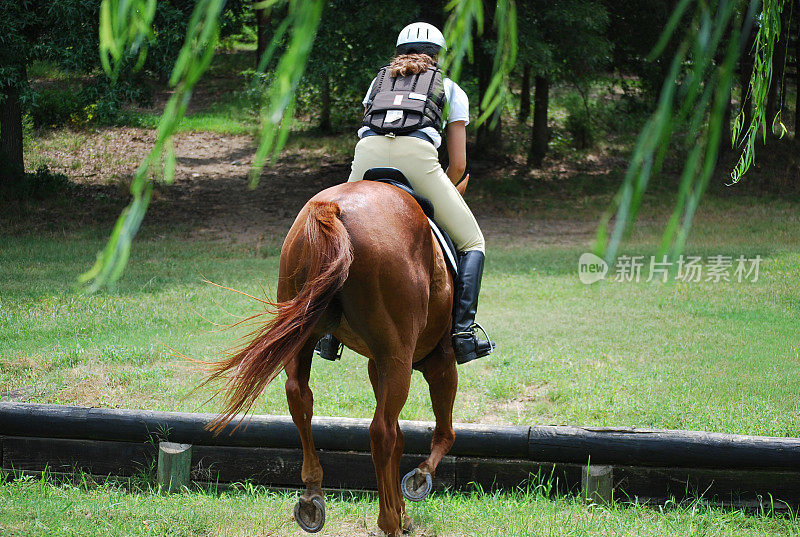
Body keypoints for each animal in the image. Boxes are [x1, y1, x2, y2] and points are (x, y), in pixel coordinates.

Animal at [203, 174, 472, 532]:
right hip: (398, 356)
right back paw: (387, 521)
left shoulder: (376, 364)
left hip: (302, 333)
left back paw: (312, 498)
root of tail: (332, 207)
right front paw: (417, 482)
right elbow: (443, 433)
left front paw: (404, 510)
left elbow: (404, 437)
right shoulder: (438, 360)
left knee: (300, 397)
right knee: (381, 431)